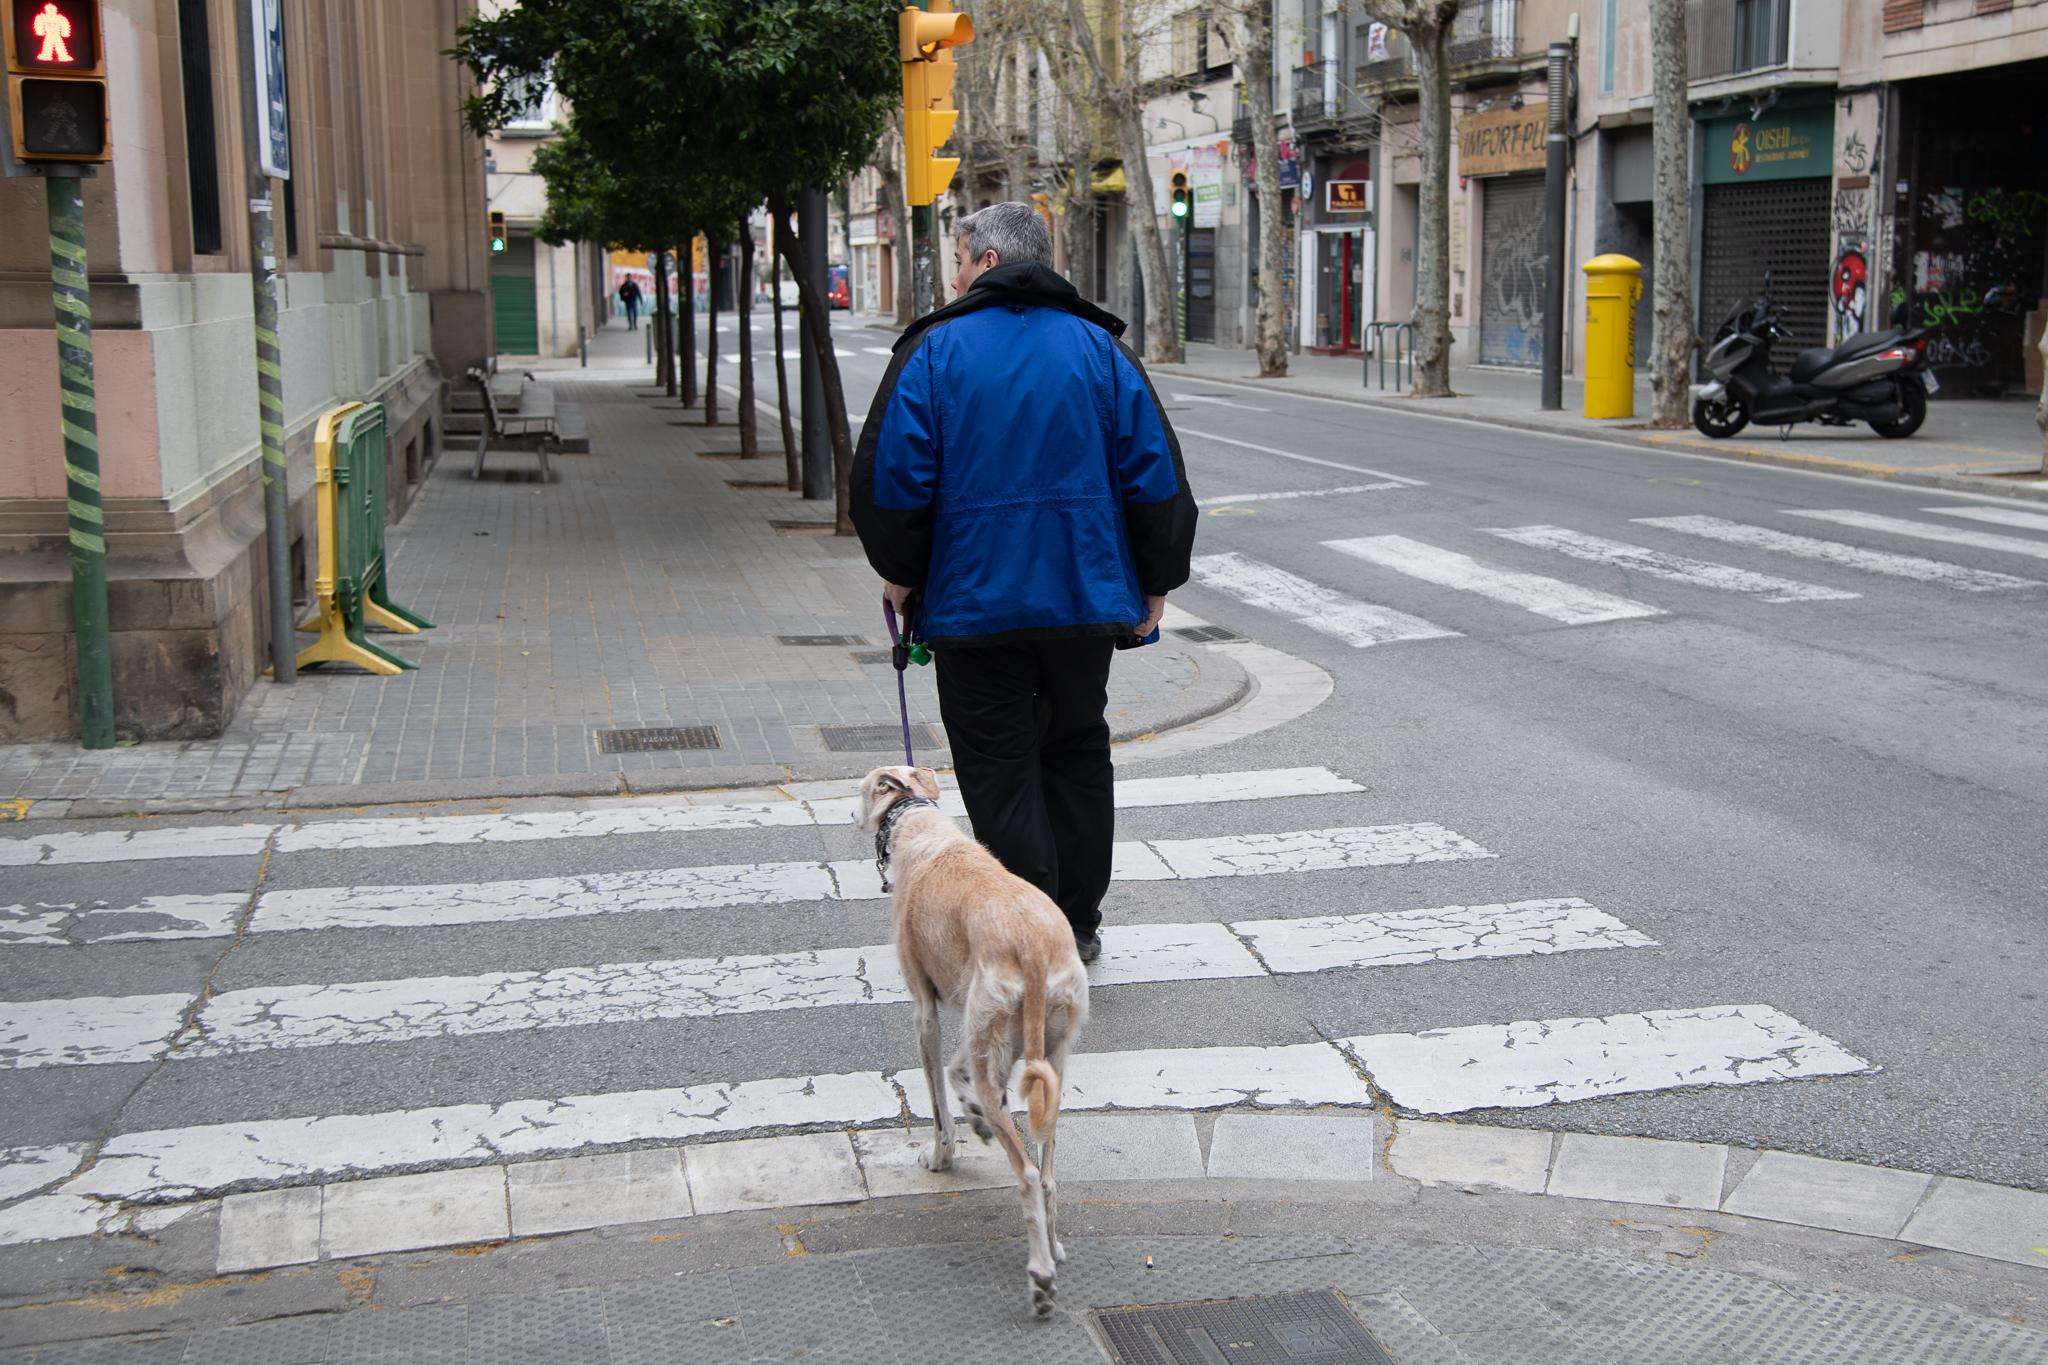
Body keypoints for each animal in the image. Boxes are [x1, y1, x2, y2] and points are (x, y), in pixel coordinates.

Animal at [860, 765, 1097, 1317]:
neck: (921, 830)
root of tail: (1032, 947)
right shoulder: (973, 1019)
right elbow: (956, 1068)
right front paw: (971, 1114)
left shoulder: (925, 1011)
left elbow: (937, 1098)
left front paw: (942, 1155)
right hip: (1047, 1055)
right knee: (1046, 1172)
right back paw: (1053, 1247)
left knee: (1027, 1175)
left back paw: (1041, 1278)